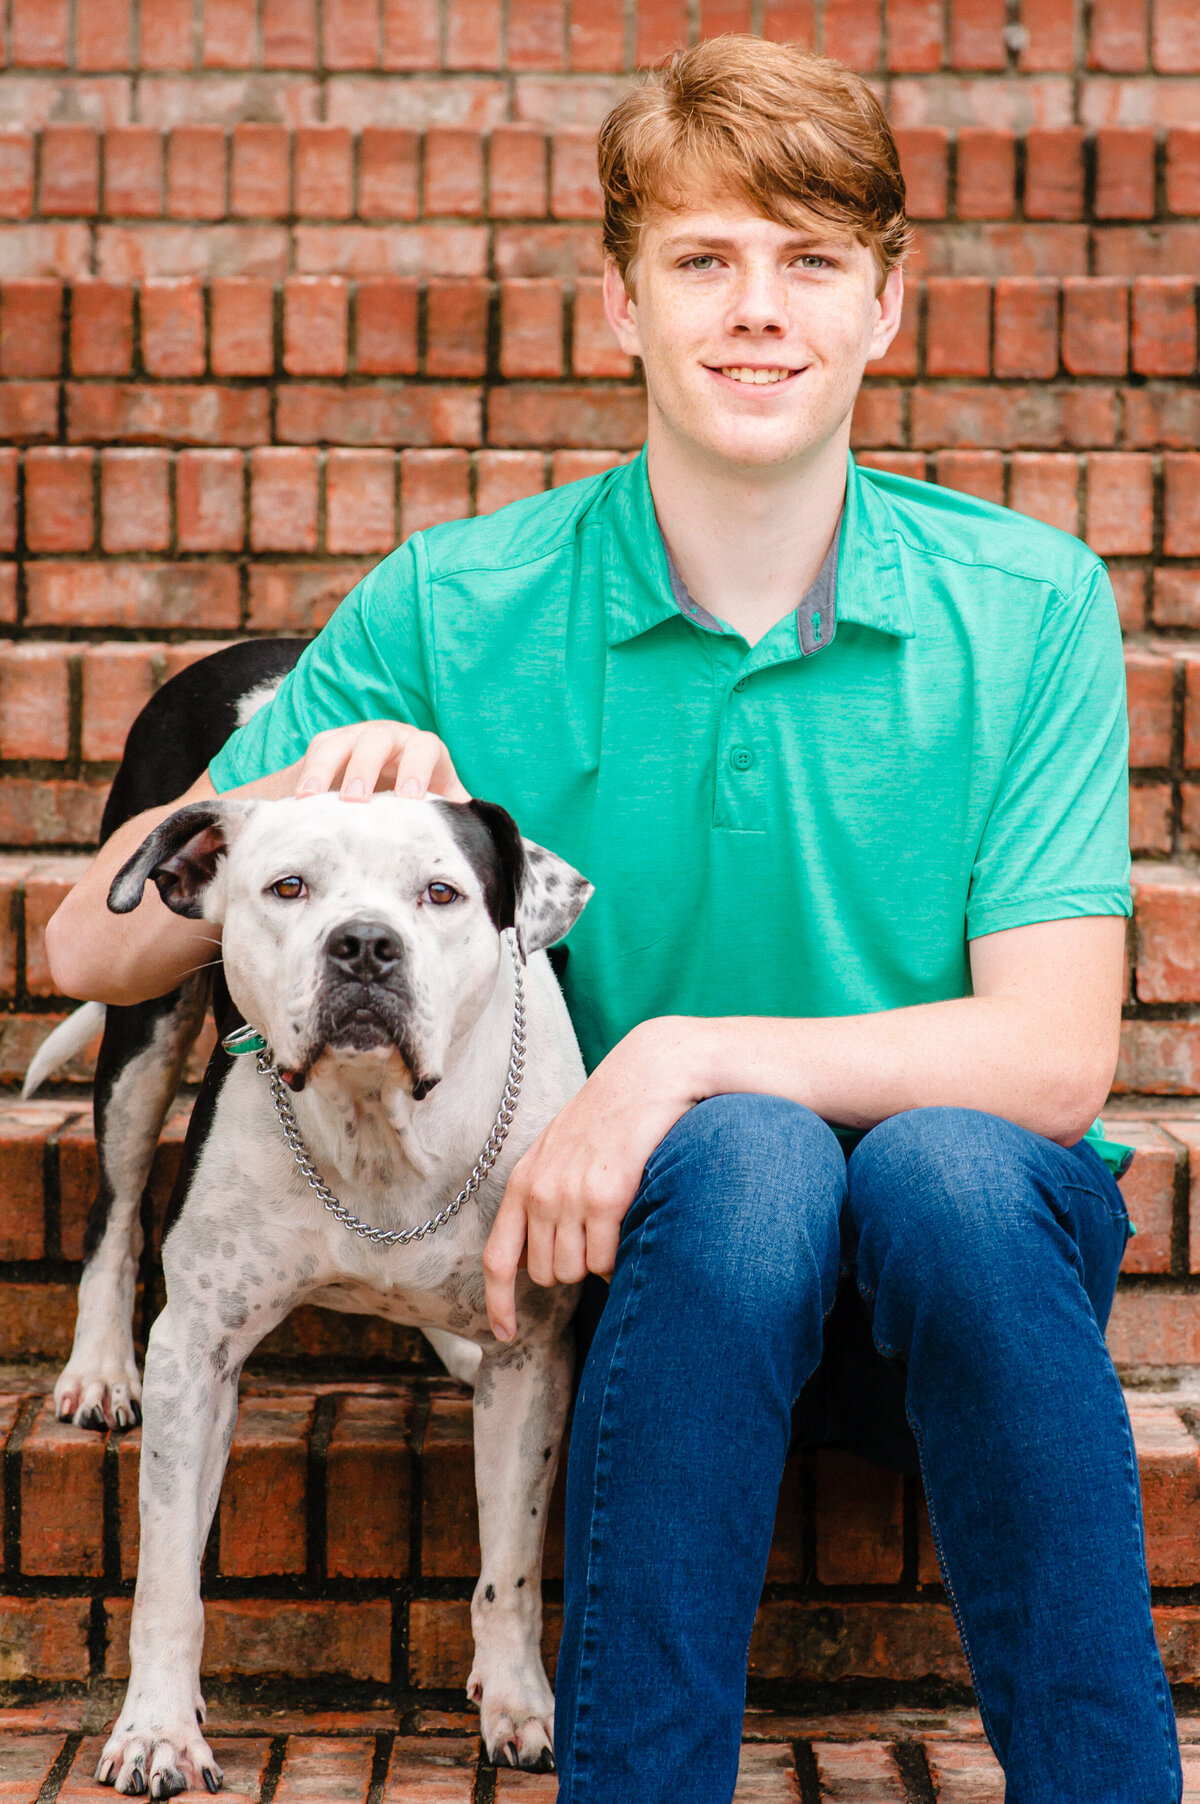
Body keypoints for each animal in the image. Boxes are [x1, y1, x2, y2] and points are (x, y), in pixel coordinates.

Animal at [33, 649, 599, 1789]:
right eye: (287, 887)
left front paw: (518, 1700)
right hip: (143, 1025)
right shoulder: (198, 1346)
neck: (375, 1126)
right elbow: (168, 1577)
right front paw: (157, 1727)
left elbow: (512, 1561)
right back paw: (100, 1367)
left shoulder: (533, 1355)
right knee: (114, 1210)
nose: (366, 946)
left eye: (442, 892)